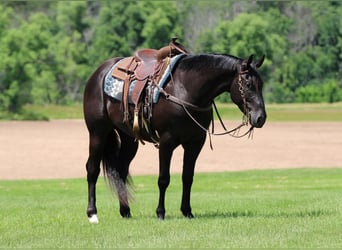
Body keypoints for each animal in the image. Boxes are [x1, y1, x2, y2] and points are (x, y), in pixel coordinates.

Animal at [83, 47, 268, 223]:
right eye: (248, 84)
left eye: (261, 84)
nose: (260, 118)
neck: (186, 90)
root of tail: (99, 73)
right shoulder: (167, 142)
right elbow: (163, 179)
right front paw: (160, 213)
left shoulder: (195, 142)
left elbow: (187, 177)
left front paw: (187, 212)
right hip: (98, 132)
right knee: (92, 169)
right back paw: (92, 213)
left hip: (129, 138)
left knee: (120, 169)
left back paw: (125, 211)